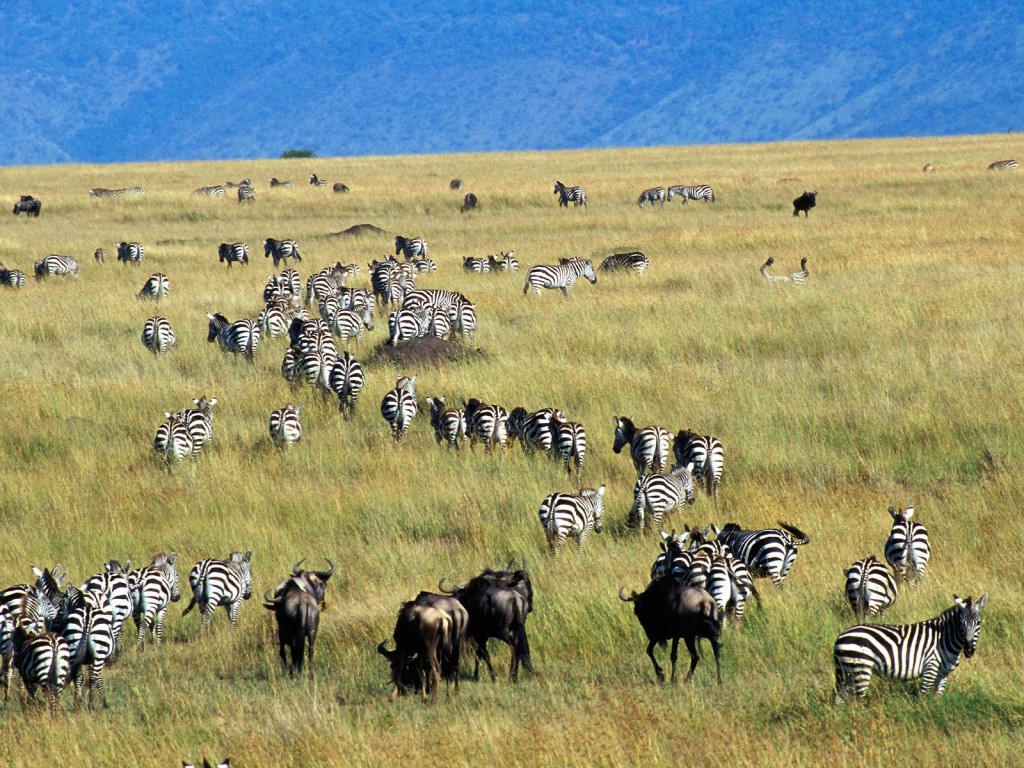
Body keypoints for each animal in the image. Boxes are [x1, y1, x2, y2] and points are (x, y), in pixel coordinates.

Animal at [835, 593, 987, 704]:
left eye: (978, 623)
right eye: (961, 623)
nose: (969, 650)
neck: (944, 638)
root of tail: (841, 636)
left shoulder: (944, 674)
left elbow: (937, 697)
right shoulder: (930, 668)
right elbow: (923, 696)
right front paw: (925, 715)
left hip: (849, 671)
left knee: (840, 699)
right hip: (861, 668)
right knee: (858, 700)